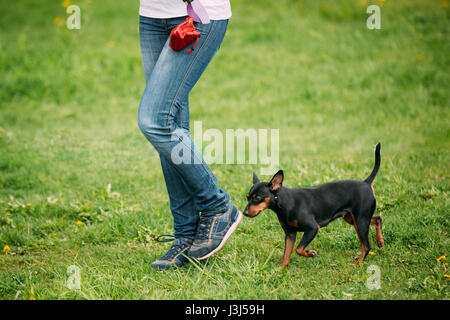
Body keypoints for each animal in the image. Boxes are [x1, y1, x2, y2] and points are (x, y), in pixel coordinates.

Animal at [243, 143, 384, 268]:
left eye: (257, 198)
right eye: (247, 197)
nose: (244, 213)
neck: (286, 203)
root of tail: (366, 183)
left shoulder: (312, 228)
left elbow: (299, 249)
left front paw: (311, 253)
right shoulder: (290, 234)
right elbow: (287, 254)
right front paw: (281, 269)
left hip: (360, 221)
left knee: (366, 246)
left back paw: (357, 264)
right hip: (352, 218)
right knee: (377, 219)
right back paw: (380, 241)